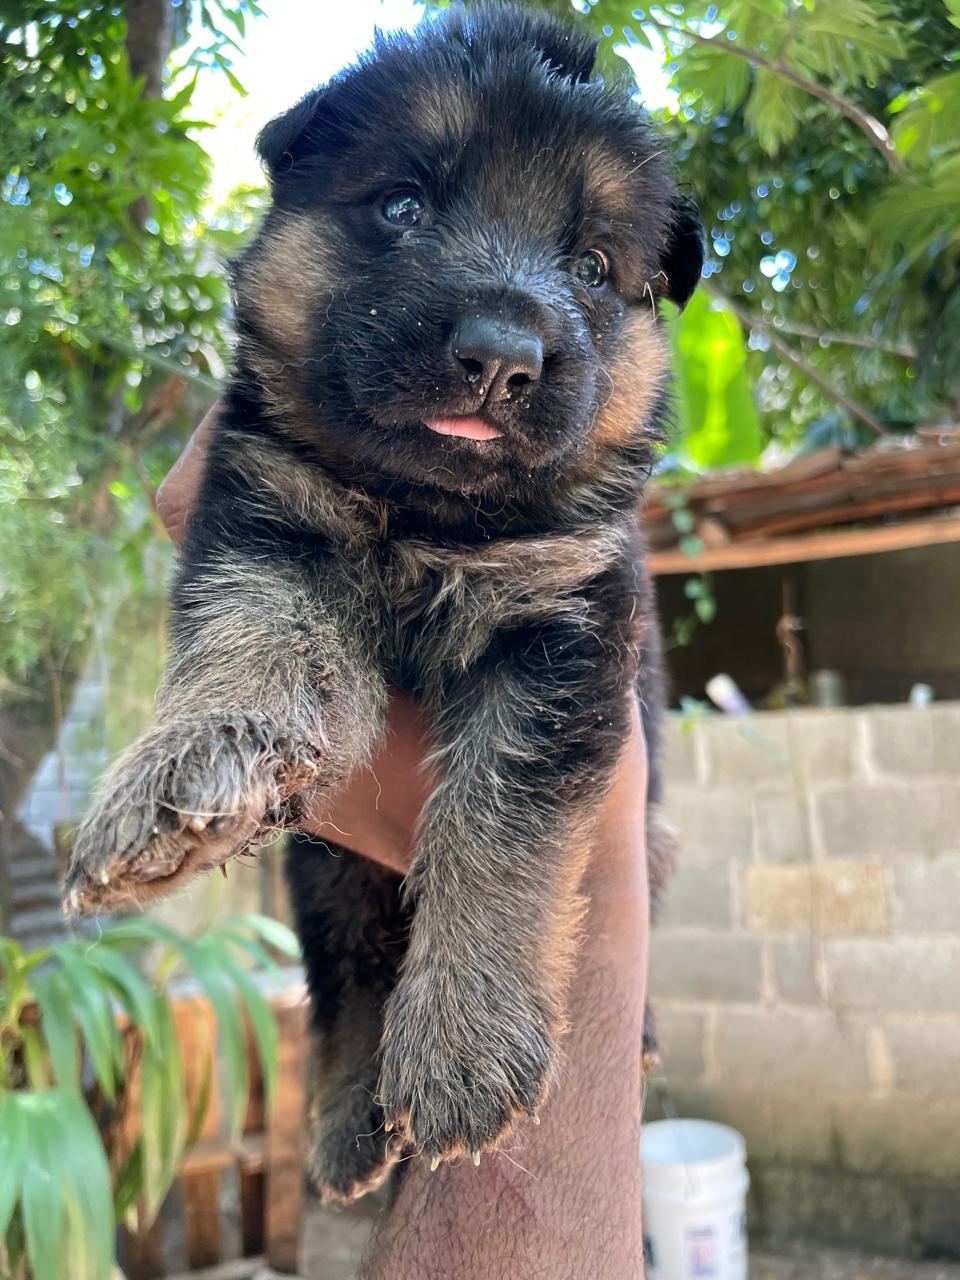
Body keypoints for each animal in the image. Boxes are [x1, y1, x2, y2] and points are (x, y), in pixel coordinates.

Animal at [64, 5, 701, 1198]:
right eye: (404, 204)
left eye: (592, 264)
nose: (500, 358)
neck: (426, 515)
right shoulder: (269, 520)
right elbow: (253, 638)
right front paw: (188, 767)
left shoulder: (566, 627)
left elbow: (498, 822)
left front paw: (464, 1035)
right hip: (322, 872)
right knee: (348, 968)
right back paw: (348, 1115)